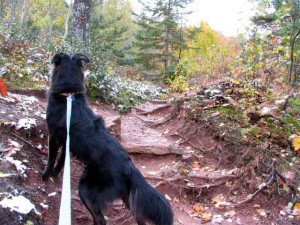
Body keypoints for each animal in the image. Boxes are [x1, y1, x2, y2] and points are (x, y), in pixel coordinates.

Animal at [42, 53, 173, 225]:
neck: (68, 95)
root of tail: (129, 168)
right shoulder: (66, 142)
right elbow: (61, 161)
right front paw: (56, 174)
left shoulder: (53, 136)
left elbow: (51, 158)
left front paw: (45, 176)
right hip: (127, 198)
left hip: (86, 189)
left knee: (101, 219)